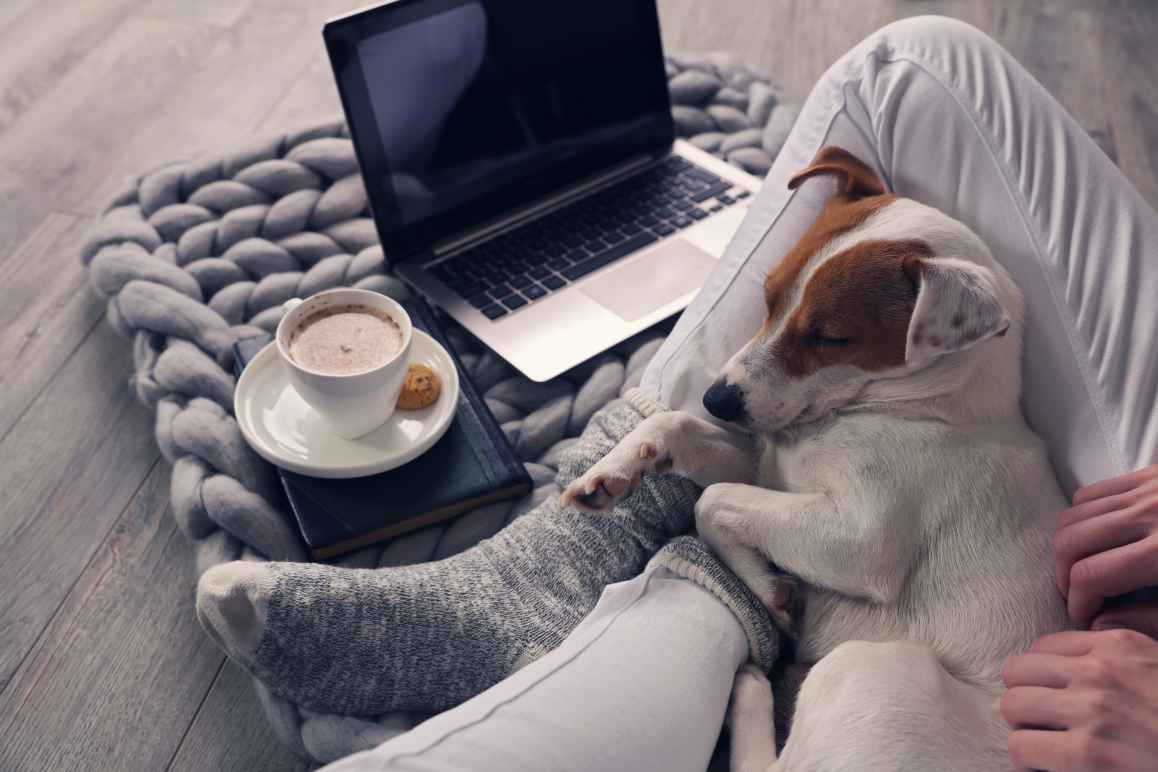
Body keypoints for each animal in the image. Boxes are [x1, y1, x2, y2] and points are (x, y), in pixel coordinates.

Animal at [555, 146, 1069, 772]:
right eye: (768, 296)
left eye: (831, 337)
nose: (716, 398)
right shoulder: (771, 472)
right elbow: (675, 430)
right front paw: (612, 473)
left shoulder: (861, 540)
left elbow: (713, 502)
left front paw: (765, 588)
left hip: (868, 670)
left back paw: (750, 692)